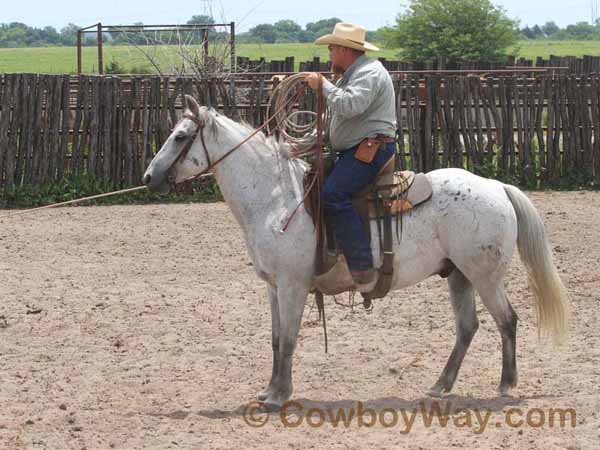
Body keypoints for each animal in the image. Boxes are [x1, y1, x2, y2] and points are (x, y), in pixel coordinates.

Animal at [143, 96, 568, 412]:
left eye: (181, 136)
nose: (149, 177)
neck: (276, 198)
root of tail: (496, 185)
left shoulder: (294, 285)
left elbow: (290, 338)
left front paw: (280, 396)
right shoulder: (273, 287)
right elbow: (276, 338)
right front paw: (269, 390)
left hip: (485, 276)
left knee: (507, 320)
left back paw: (505, 385)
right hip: (459, 275)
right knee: (468, 327)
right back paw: (439, 385)